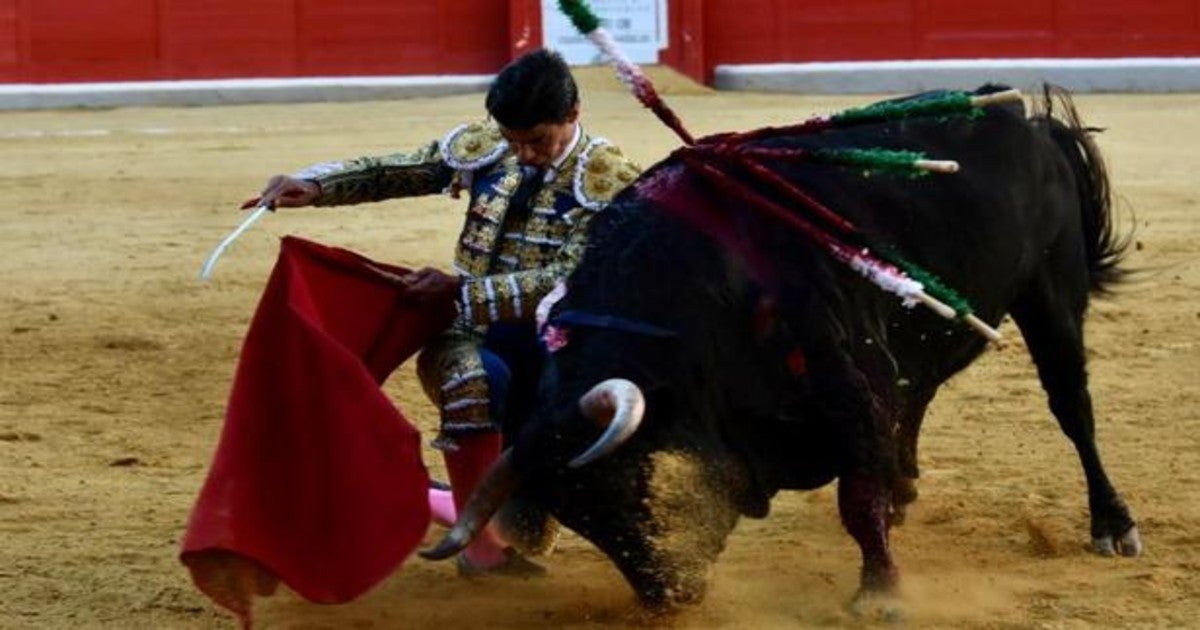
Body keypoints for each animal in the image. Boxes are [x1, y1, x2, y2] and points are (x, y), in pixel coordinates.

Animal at [424, 84, 1142, 609]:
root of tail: (1033, 123)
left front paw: (880, 594)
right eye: (581, 521)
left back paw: (1112, 525)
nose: (669, 597)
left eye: (632, 487)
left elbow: (857, 498)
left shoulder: (850, 380)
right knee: (920, 392)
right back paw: (905, 489)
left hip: (1051, 292)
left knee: (1070, 404)